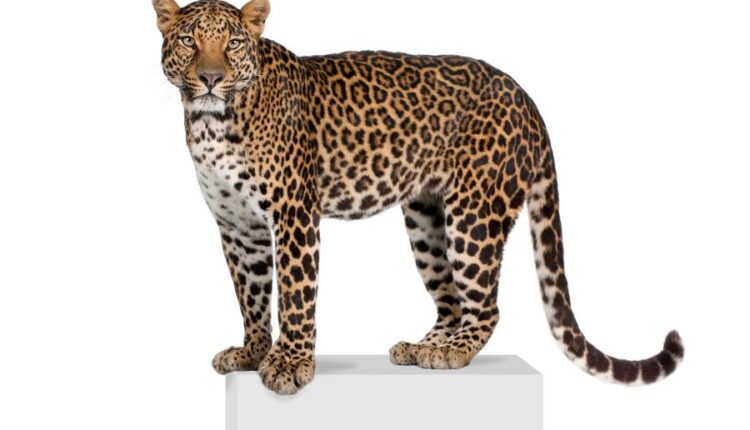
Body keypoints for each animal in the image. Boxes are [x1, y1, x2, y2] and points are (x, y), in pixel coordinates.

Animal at [152, 0, 684, 395]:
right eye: (189, 40)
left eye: (233, 43)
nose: (211, 78)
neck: (211, 124)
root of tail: (527, 99)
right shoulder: (238, 227)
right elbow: (252, 295)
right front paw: (252, 351)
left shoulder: (294, 216)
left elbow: (297, 296)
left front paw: (289, 364)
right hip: (426, 220)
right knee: (451, 301)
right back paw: (423, 347)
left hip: (474, 216)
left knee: (485, 306)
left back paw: (452, 352)